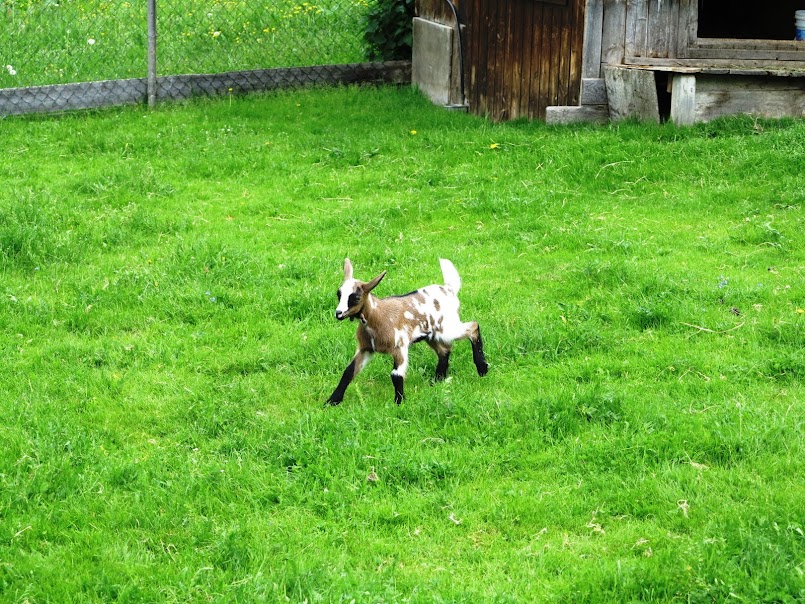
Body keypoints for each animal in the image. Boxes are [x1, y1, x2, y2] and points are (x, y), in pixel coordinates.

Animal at [326, 258, 490, 406]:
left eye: (356, 297)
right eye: (339, 294)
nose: (338, 313)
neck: (377, 316)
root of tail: (449, 289)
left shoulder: (399, 347)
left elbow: (396, 375)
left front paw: (399, 403)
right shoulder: (366, 348)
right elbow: (349, 371)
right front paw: (332, 401)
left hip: (446, 328)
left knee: (473, 327)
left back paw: (482, 368)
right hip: (431, 335)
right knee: (444, 350)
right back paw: (438, 380)